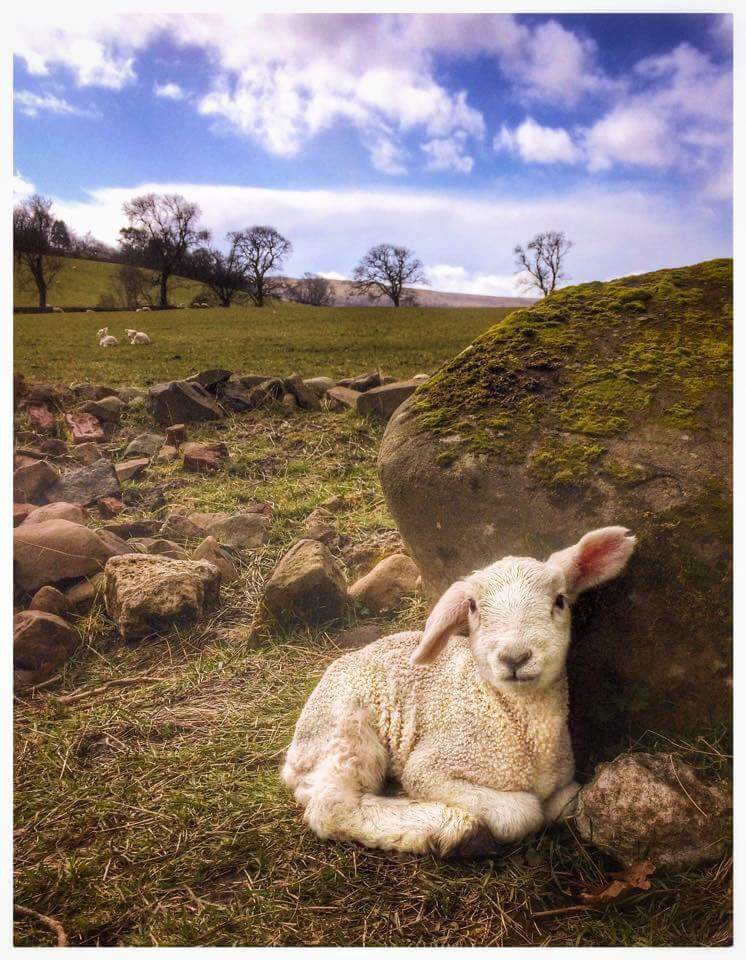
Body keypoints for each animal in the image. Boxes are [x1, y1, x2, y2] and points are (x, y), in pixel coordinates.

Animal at [282, 526, 636, 857]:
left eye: (560, 600)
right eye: (473, 606)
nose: (515, 657)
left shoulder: (563, 785)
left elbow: (567, 802)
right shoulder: (432, 767)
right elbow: (522, 811)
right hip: (345, 730)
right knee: (333, 806)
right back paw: (453, 829)